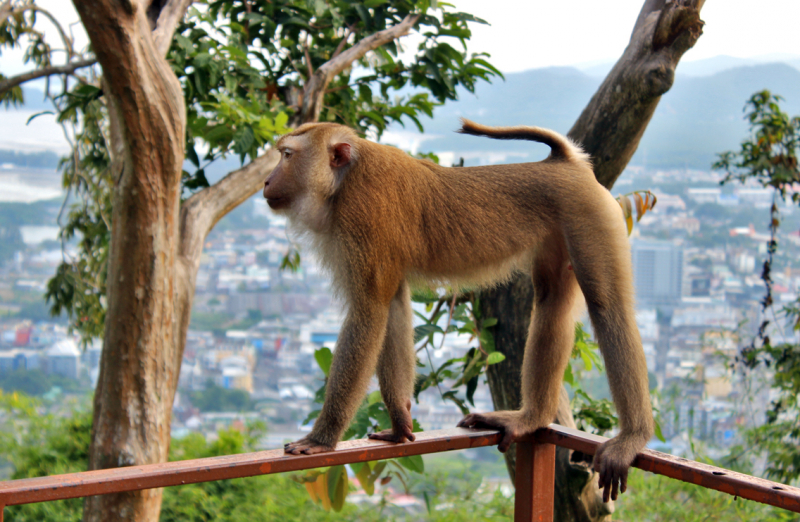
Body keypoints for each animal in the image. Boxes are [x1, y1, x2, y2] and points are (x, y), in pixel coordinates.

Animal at [266, 118, 652, 500]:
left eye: (287, 155)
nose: (268, 180)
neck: (343, 181)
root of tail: (566, 163)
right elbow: (393, 307)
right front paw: (399, 423)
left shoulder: (363, 216)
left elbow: (369, 312)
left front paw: (322, 439)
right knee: (552, 300)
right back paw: (531, 418)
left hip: (590, 214)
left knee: (607, 307)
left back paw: (632, 437)